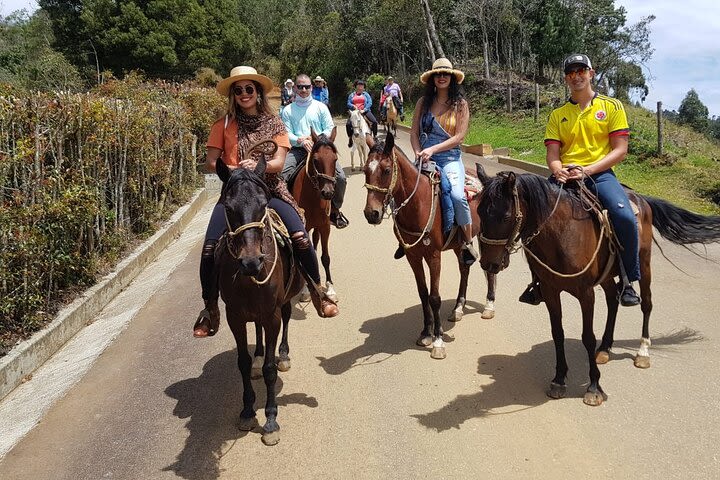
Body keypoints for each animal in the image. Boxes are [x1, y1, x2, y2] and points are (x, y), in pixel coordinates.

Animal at [214, 151, 304, 446]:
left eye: (263, 204)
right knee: (258, 332)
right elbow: (242, 363)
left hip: (284, 301)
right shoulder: (234, 316)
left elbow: (269, 369)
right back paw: (259, 353)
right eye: (229, 207)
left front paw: (271, 419)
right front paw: (247, 411)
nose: (251, 262)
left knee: (286, 318)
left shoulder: (271, 314)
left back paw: (283, 354)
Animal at [290, 126, 340, 300]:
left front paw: (330, 288)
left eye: (335, 159)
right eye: (316, 160)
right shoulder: (304, 228)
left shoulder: (325, 227)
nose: (328, 192)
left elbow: (325, 258)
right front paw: (307, 290)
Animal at [366, 133, 496, 358]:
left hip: (486, 235)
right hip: (458, 244)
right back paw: (458, 308)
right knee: (464, 268)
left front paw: (438, 340)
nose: (371, 213)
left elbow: (434, 297)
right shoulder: (413, 256)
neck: (418, 204)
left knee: (489, 269)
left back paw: (489, 305)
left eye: (387, 170)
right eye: (366, 170)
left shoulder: (434, 256)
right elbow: (423, 294)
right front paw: (426, 332)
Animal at [476, 169, 720, 404]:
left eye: (505, 216)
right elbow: (558, 333)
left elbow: (587, 337)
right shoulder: (550, 290)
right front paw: (559, 379)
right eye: (479, 211)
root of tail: (641, 199)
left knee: (647, 304)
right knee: (613, 301)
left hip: (644, 265)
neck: (562, 235)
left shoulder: (586, 294)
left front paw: (594, 388)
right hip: (606, 277)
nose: (489, 264)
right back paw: (604, 349)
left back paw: (642, 351)